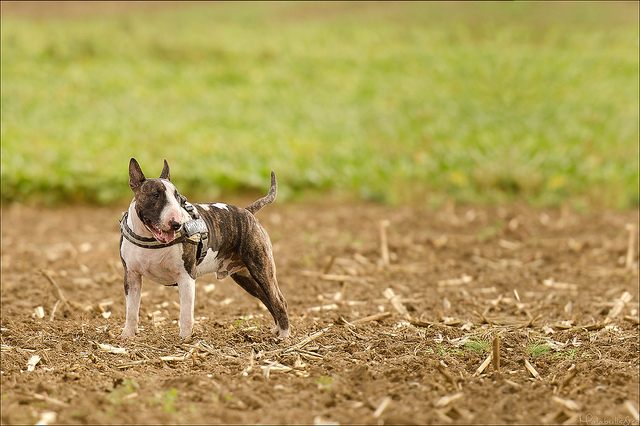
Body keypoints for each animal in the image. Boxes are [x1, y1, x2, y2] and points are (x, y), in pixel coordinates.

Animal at [117, 158, 290, 342]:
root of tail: (247, 212)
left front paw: (185, 339)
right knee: (268, 299)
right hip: (245, 277)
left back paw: (284, 336)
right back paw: (276, 330)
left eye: (177, 197)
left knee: (279, 300)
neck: (149, 239)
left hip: (261, 268)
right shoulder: (132, 276)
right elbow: (131, 309)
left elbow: (186, 313)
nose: (177, 224)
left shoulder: (186, 276)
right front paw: (127, 335)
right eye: (156, 195)